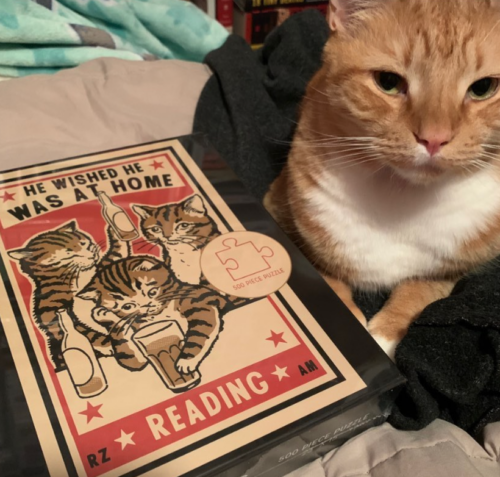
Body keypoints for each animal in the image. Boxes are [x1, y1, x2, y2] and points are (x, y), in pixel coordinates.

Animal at [8, 221, 128, 370]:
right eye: (69, 253)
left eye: (83, 243)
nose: (92, 255)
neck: (75, 276)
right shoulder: (54, 314)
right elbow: (82, 332)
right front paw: (109, 345)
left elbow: (116, 253)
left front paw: (115, 228)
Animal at [76, 255, 229, 374]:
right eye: (127, 306)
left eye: (152, 292)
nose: (147, 306)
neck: (158, 316)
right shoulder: (137, 349)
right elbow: (129, 354)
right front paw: (102, 314)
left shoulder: (200, 304)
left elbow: (199, 333)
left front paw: (186, 361)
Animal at [266, 0, 500, 356]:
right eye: (388, 81)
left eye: (483, 88)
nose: (434, 139)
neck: (401, 196)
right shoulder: (283, 221)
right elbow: (327, 281)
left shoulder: (452, 267)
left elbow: (418, 291)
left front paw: (383, 334)